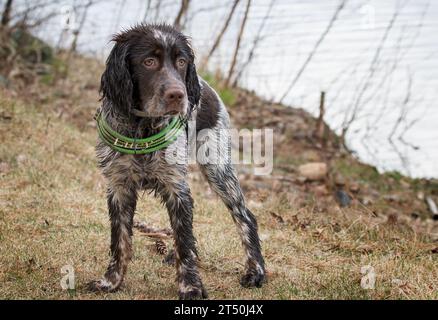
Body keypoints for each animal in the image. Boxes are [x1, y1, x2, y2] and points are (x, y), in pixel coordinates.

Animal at [89, 24, 266, 300]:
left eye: (181, 62)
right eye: (149, 61)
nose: (178, 95)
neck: (142, 127)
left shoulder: (176, 187)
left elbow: (184, 239)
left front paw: (190, 287)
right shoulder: (119, 187)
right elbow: (120, 241)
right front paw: (111, 282)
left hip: (218, 169)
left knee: (245, 216)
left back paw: (255, 271)